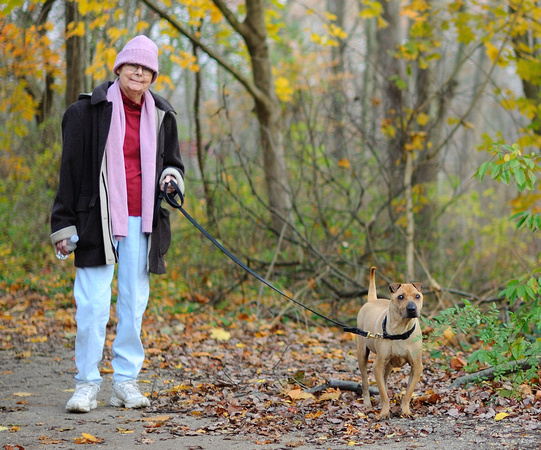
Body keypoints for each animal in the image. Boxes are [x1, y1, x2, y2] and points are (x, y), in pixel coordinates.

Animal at [356, 268, 424, 418]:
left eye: (417, 296)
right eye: (400, 297)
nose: (412, 309)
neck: (400, 331)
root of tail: (372, 300)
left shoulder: (416, 366)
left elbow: (408, 392)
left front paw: (405, 410)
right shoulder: (377, 365)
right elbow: (383, 393)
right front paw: (385, 412)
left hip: (388, 365)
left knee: (385, 379)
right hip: (362, 353)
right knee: (365, 381)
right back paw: (367, 404)